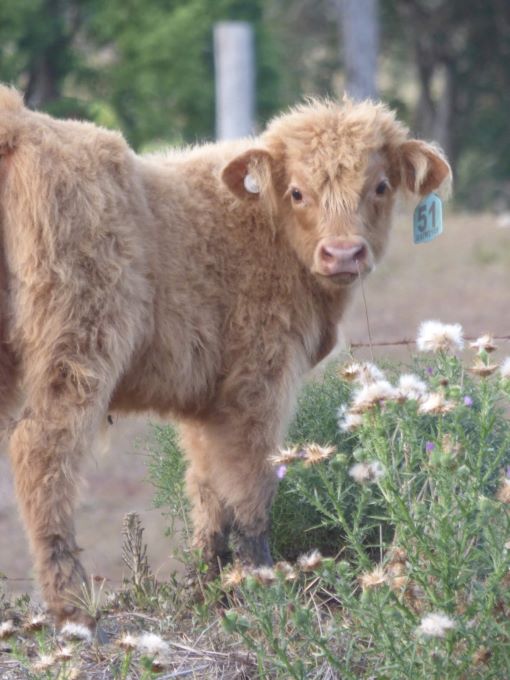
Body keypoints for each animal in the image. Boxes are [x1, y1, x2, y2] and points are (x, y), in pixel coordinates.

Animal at [0, 86, 452, 628]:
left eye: (380, 186)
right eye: (297, 192)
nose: (343, 253)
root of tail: (21, 123)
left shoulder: (206, 400)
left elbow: (207, 489)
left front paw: (208, 586)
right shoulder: (258, 379)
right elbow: (251, 482)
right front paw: (265, 583)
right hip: (77, 345)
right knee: (42, 452)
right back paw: (73, 606)